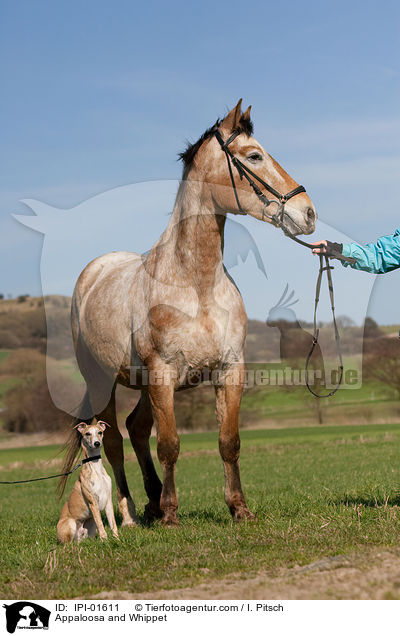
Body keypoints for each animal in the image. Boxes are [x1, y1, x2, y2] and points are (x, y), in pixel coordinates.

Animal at [60, 100, 316, 528]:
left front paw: (238, 508)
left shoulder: (229, 370)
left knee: (136, 428)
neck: (196, 284)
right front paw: (170, 516)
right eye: (254, 156)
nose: (307, 213)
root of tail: (94, 271)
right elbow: (170, 445)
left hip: (144, 385)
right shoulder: (162, 375)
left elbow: (228, 442)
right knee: (112, 441)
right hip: (103, 382)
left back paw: (151, 501)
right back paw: (132, 513)